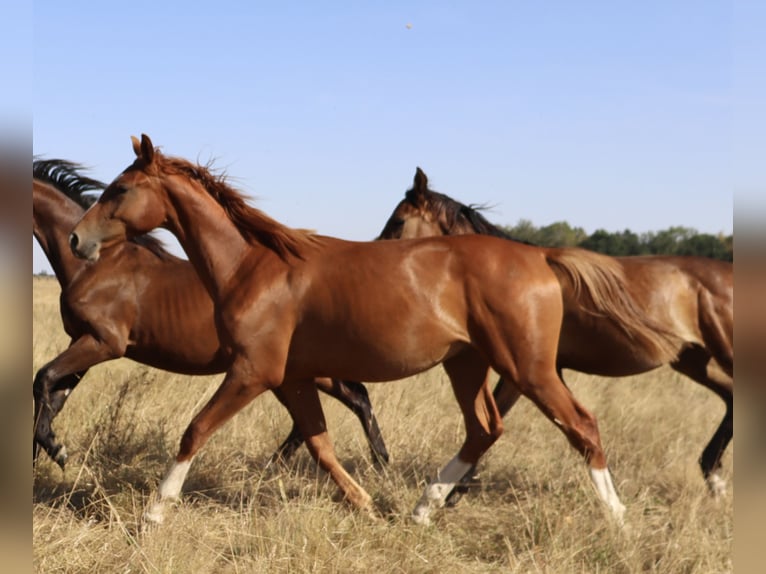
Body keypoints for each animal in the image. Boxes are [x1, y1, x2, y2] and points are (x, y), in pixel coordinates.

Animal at [33, 158, 390, 472]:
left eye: (120, 189)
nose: (76, 240)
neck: (96, 268)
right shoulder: (82, 340)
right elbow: (52, 396)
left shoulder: (104, 343)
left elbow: (44, 379)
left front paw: (57, 451)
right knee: (340, 405)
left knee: (351, 400)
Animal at [69, 135, 678, 526]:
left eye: (119, 189)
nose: (77, 239)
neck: (253, 266)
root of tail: (540, 257)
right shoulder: (292, 378)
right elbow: (319, 444)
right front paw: (363, 504)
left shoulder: (252, 372)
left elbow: (195, 430)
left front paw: (154, 511)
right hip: (468, 364)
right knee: (485, 429)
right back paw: (423, 509)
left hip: (527, 367)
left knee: (582, 426)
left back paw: (618, 519)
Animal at [378, 167, 734, 501]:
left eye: (398, 220)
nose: (381, 259)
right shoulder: (533, 373)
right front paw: (454, 492)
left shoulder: (528, 371)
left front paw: (450, 493)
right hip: (694, 361)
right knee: (730, 397)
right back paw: (713, 476)